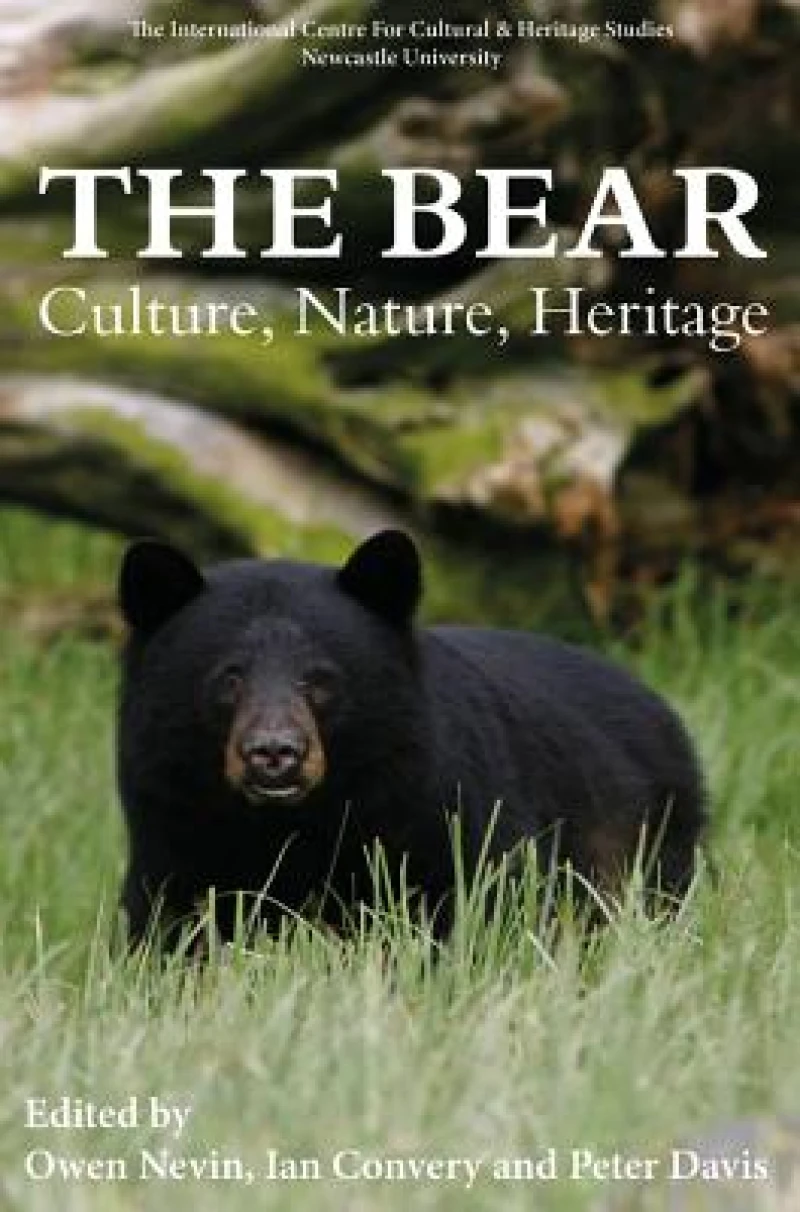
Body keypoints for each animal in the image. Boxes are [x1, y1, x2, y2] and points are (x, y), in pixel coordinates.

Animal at [116, 528, 707, 948]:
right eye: (229, 678)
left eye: (321, 680)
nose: (274, 754)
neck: (292, 821)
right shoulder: (173, 823)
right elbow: (172, 924)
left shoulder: (436, 806)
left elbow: (482, 901)